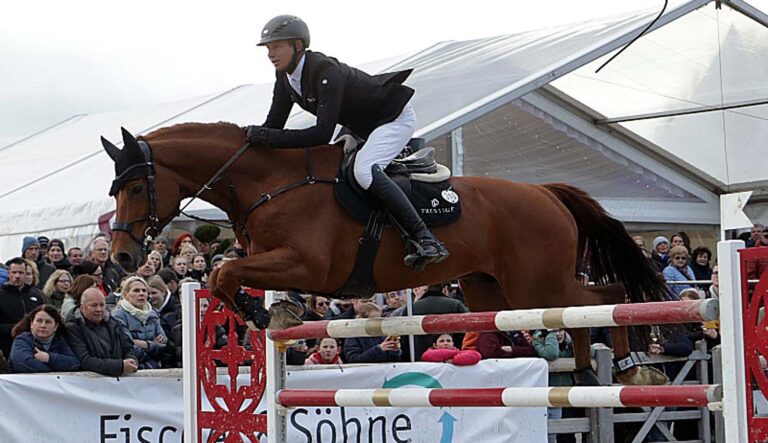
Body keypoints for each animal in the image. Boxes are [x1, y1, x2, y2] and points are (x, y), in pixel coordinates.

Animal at [105, 122, 668, 386]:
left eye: (132, 188)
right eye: (113, 190)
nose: (124, 260)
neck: (269, 182)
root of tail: (547, 193)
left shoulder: (309, 263)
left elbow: (222, 274)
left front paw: (261, 314)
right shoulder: (282, 263)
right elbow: (225, 273)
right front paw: (276, 312)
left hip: (535, 282)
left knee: (605, 297)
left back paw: (627, 369)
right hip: (493, 289)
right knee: (578, 311)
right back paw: (581, 370)